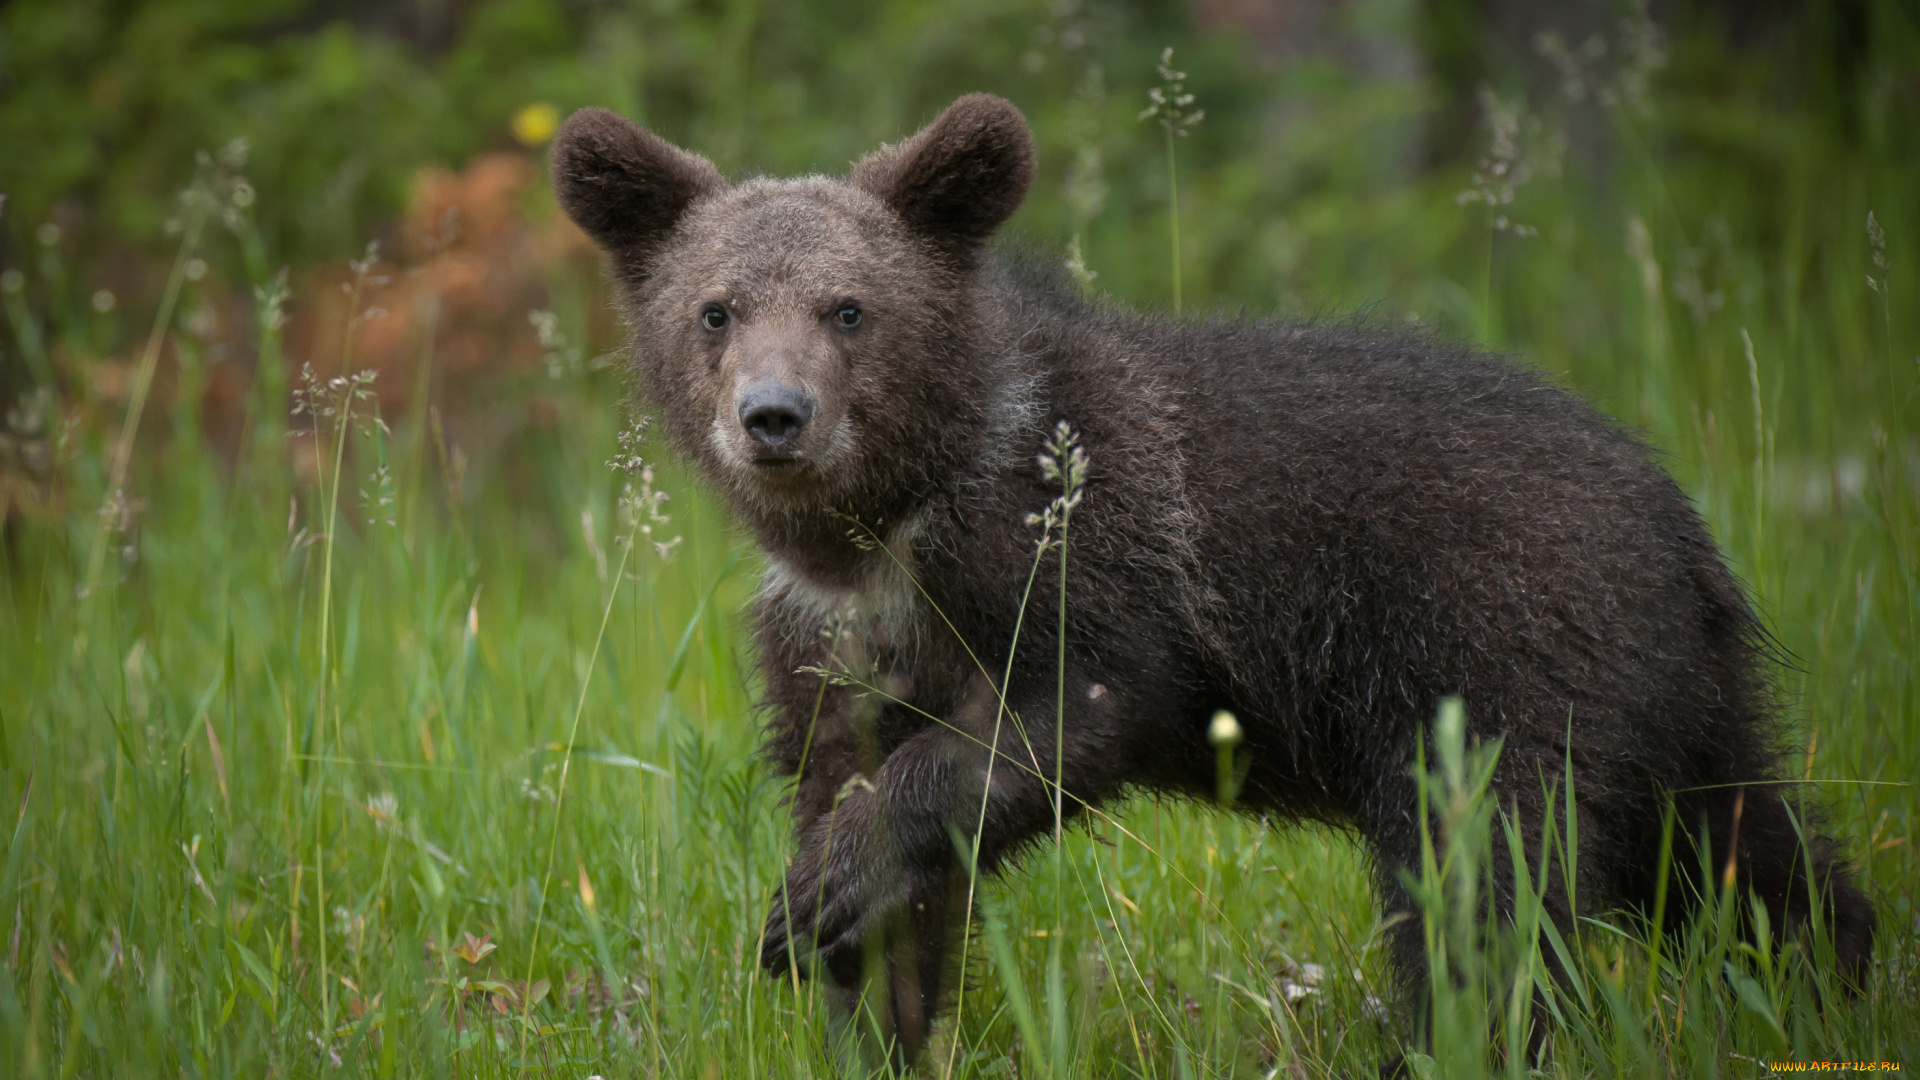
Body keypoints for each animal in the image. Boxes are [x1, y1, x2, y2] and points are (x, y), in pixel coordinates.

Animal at [552, 92, 1873, 1060]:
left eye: (848, 307)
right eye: (716, 308)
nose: (775, 417)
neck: (886, 530)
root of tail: (1681, 524)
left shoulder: (1091, 553)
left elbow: (1067, 712)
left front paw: (821, 893)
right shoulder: (836, 649)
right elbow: (869, 834)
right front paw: (865, 998)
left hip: (1499, 650)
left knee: (1482, 876)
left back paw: (1462, 1041)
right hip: (1670, 696)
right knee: (1742, 850)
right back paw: (1839, 977)